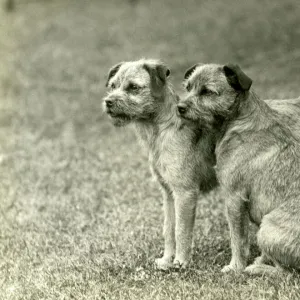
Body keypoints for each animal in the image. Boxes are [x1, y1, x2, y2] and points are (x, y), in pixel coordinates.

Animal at [102, 59, 217, 270]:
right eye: (112, 86)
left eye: (133, 87)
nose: (108, 102)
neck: (162, 130)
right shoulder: (168, 193)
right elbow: (169, 229)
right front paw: (166, 260)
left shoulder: (185, 193)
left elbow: (181, 230)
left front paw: (180, 262)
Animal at [178, 62, 300, 274]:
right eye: (188, 87)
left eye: (207, 92)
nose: (179, 107)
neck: (238, 122)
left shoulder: (234, 198)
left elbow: (238, 239)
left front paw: (235, 267)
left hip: (267, 228)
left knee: (286, 272)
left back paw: (257, 269)